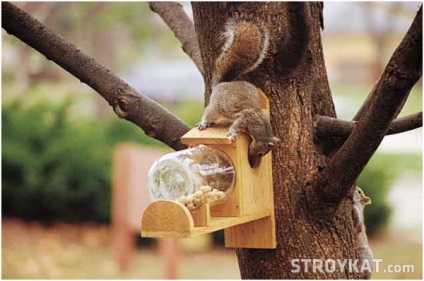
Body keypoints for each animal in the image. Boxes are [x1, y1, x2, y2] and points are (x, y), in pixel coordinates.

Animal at [197, 17, 280, 167]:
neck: (262, 127)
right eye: (261, 153)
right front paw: (232, 133)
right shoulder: (246, 118)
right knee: (209, 113)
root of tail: (224, 83)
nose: (254, 163)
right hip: (216, 105)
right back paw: (204, 123)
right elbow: (236, 125)